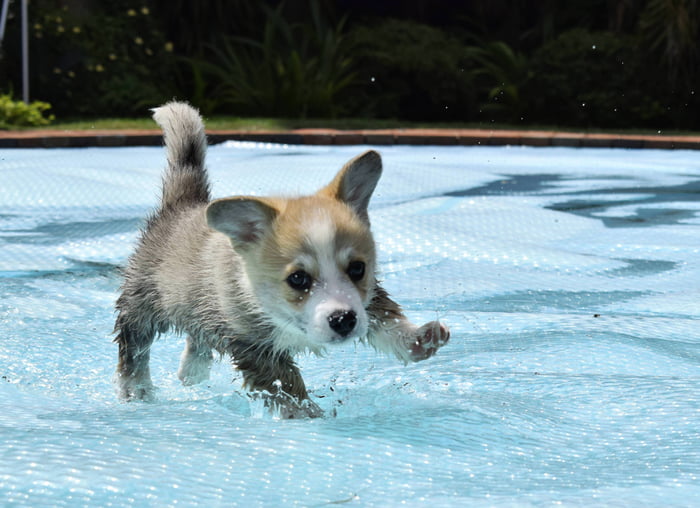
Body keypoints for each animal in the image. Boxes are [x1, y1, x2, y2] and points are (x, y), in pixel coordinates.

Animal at [115, 102, 452, 416]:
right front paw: (306, 413)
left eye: (358, 269)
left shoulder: (367, 303)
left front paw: (420, 339)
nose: (343, 320)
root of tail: (183, 203)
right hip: (143, 302)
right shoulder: (252, 345)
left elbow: (386, 322)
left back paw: (191, 373)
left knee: (198, 335)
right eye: (298, 279)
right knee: (133, 344)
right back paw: (136, 390)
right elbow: (284, 382)